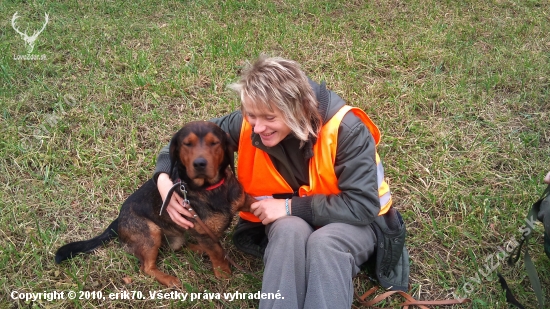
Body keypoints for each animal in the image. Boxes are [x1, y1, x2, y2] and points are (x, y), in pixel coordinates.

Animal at [55, 121, 253, 286]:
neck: (210, 188)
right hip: (151, 233)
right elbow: (217, 253)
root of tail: (118, 220)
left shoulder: (243, 202)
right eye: (187, 144)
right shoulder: (204, 233)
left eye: (214, 143)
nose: (199, 164)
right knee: (146, 268)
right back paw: (170, 279)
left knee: (180, 247)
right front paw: (223, 273)